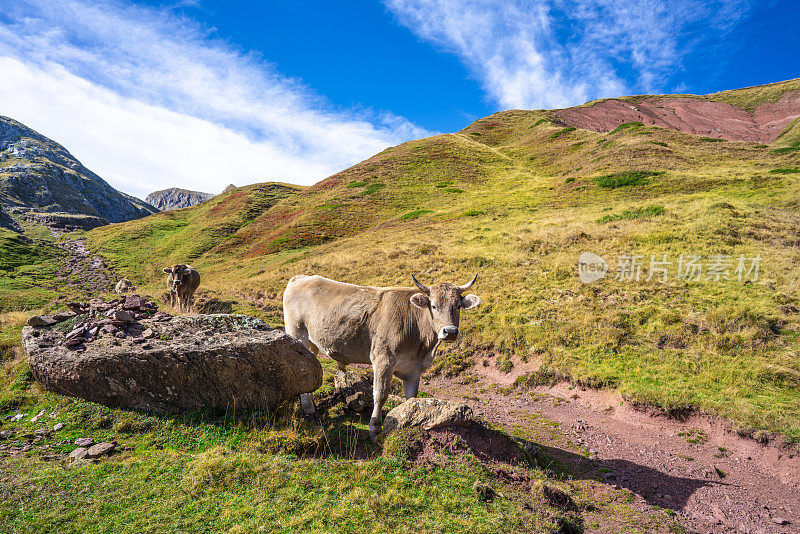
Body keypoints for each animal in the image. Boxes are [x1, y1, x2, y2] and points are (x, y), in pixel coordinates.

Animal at [282, 272, 482, 440]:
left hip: (312, 343)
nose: (450, 331)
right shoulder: (383, 359)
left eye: (458, 306)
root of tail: (301, 278)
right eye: (433, 306)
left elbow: (412, 397)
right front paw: (375, 428)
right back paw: (309, 411)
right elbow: (380, 394)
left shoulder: (414, 370)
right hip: (297, 334)